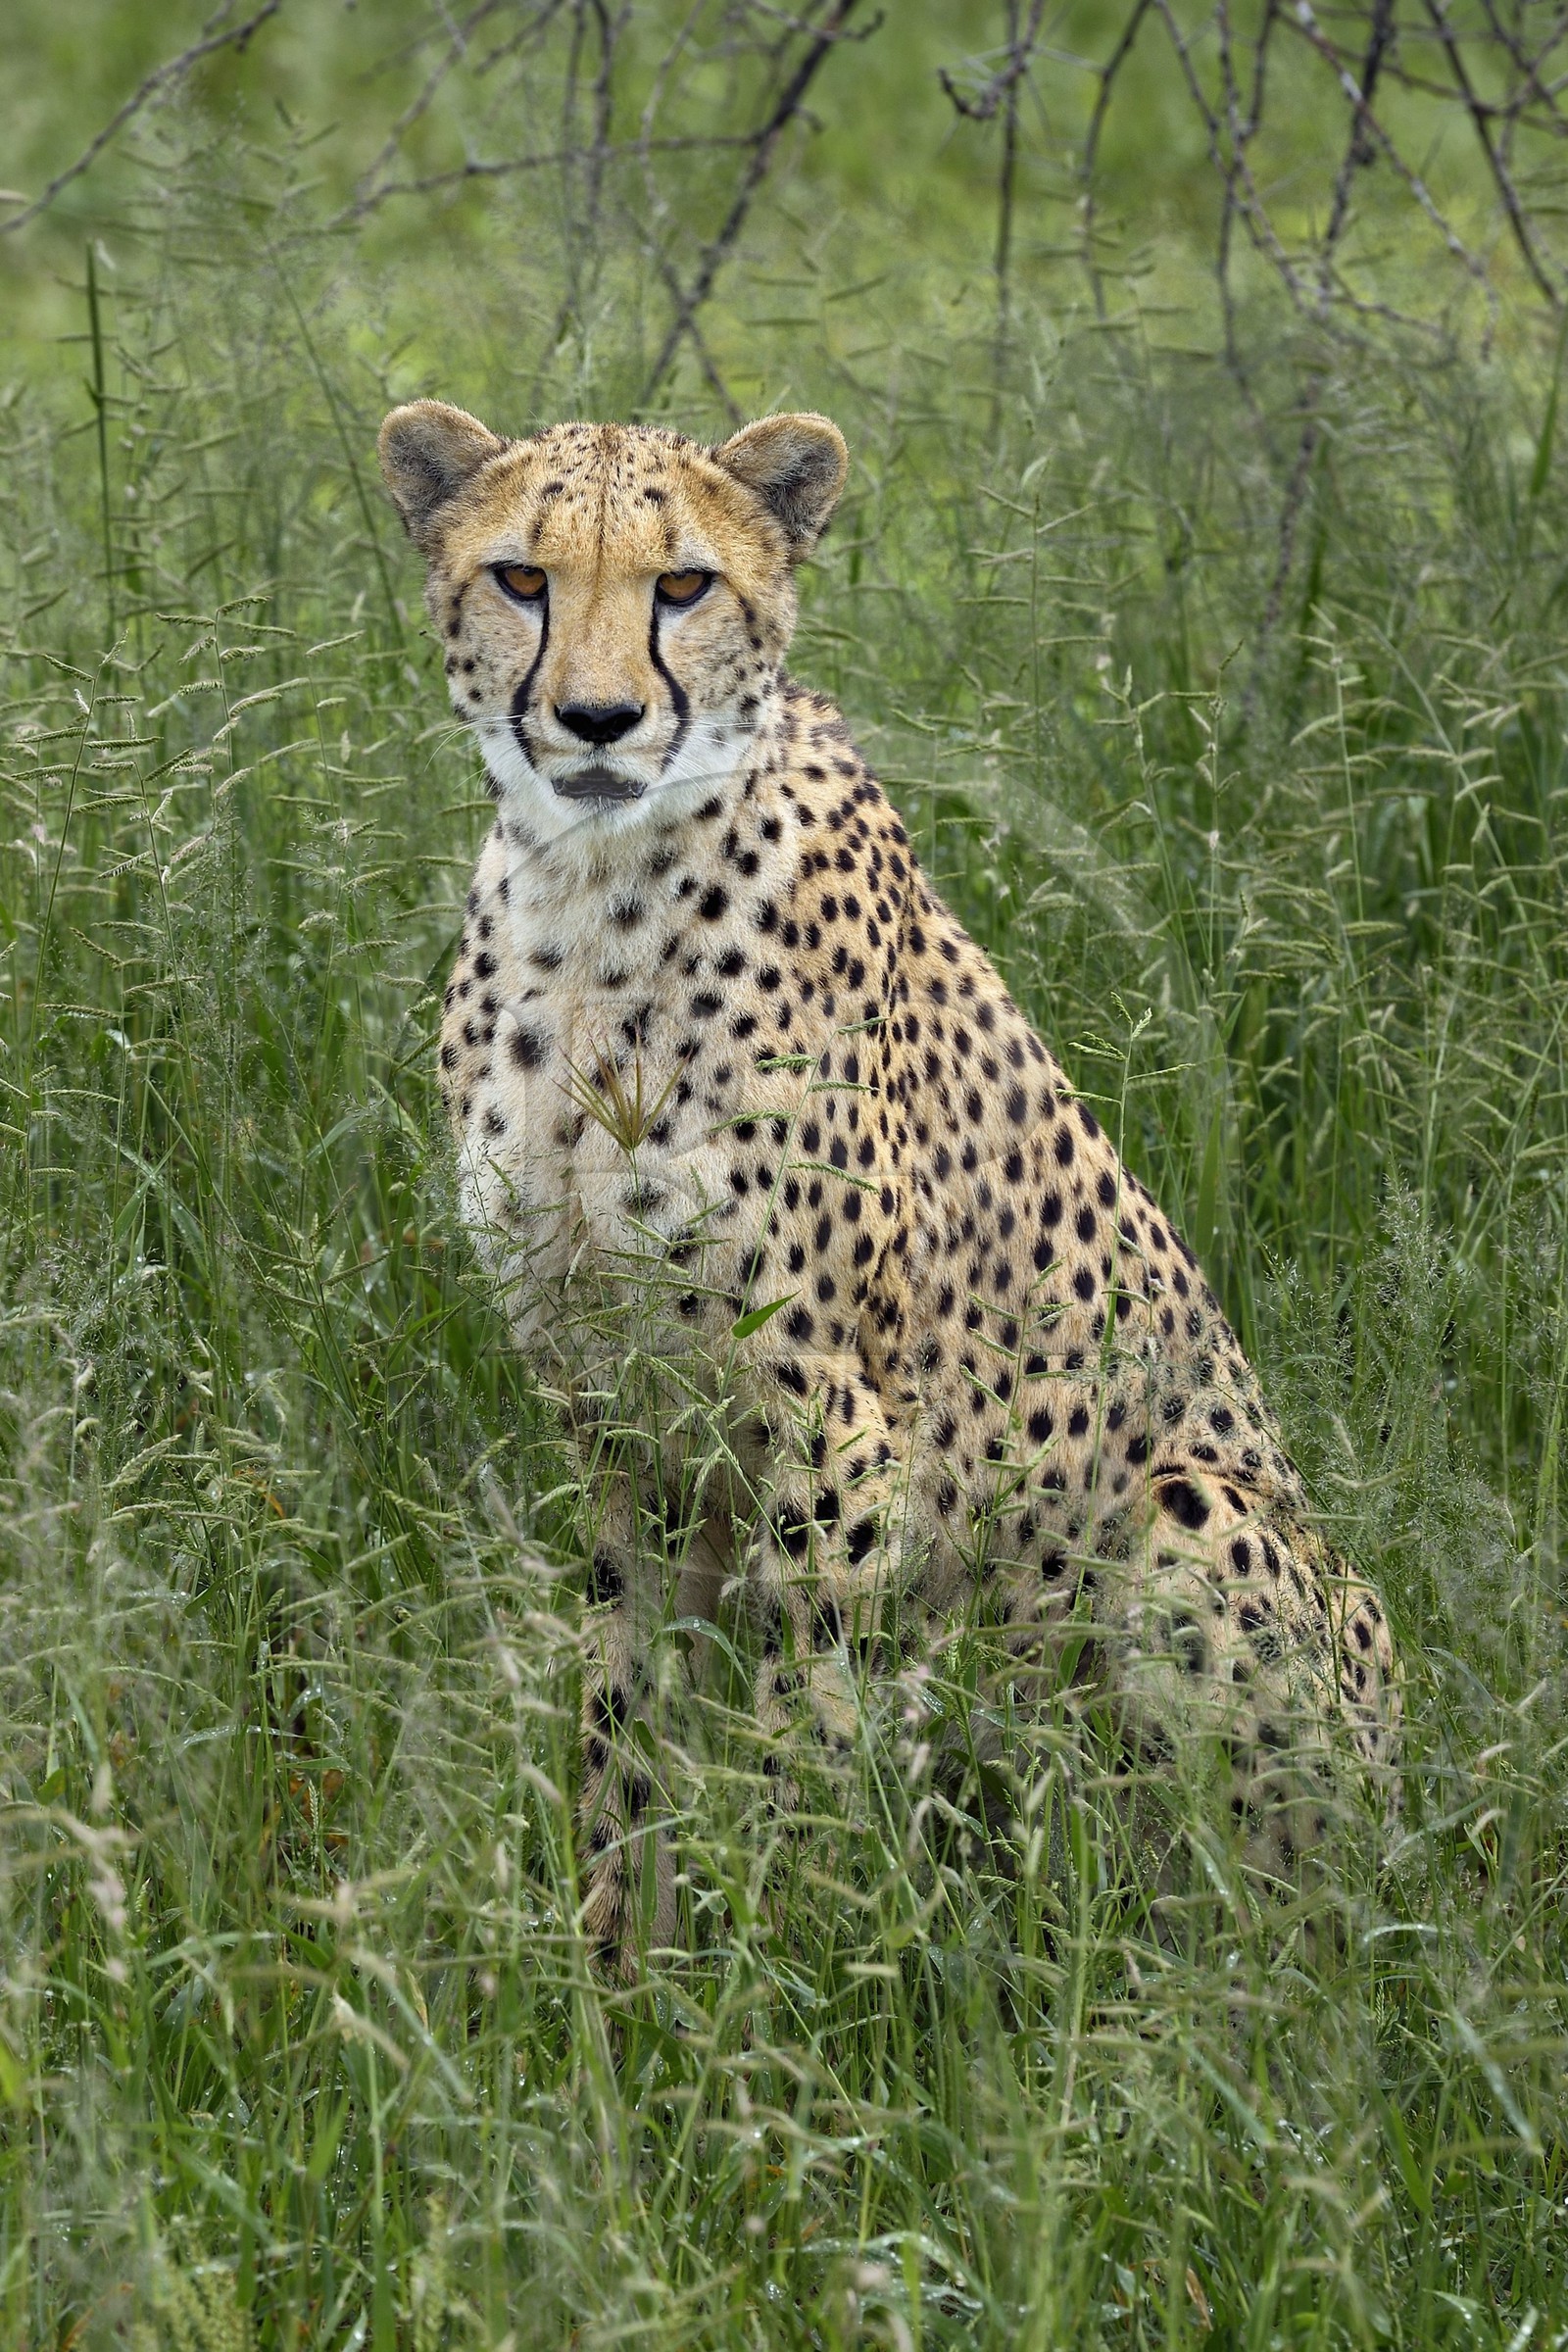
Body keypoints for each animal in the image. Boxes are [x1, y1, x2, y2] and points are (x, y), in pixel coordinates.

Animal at [379, 398, 1401, 1977]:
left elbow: (807, 1738)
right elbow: (622, 1715)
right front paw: (614, 1985)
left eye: (683, 585)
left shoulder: (840, 1431)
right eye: (522, 578)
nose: (600, 722)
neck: (593, 891)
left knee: (1262, 1926)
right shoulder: (609, 1411)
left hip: (1199, 1518)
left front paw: (797, 1990)